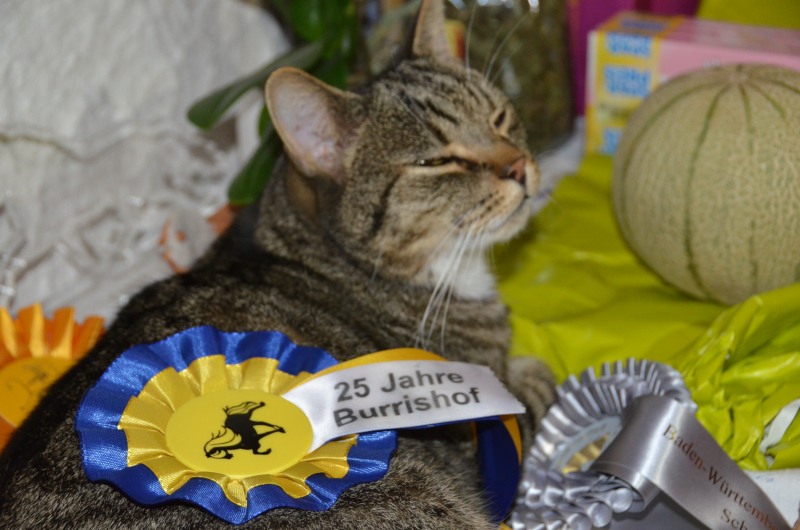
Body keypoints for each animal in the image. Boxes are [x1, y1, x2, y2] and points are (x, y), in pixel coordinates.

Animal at [0, 1, 554, 528]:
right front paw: (532, 370)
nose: (519, 167)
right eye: (437, 162)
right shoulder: (478, 434)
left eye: (499, 117)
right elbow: (528, 393)